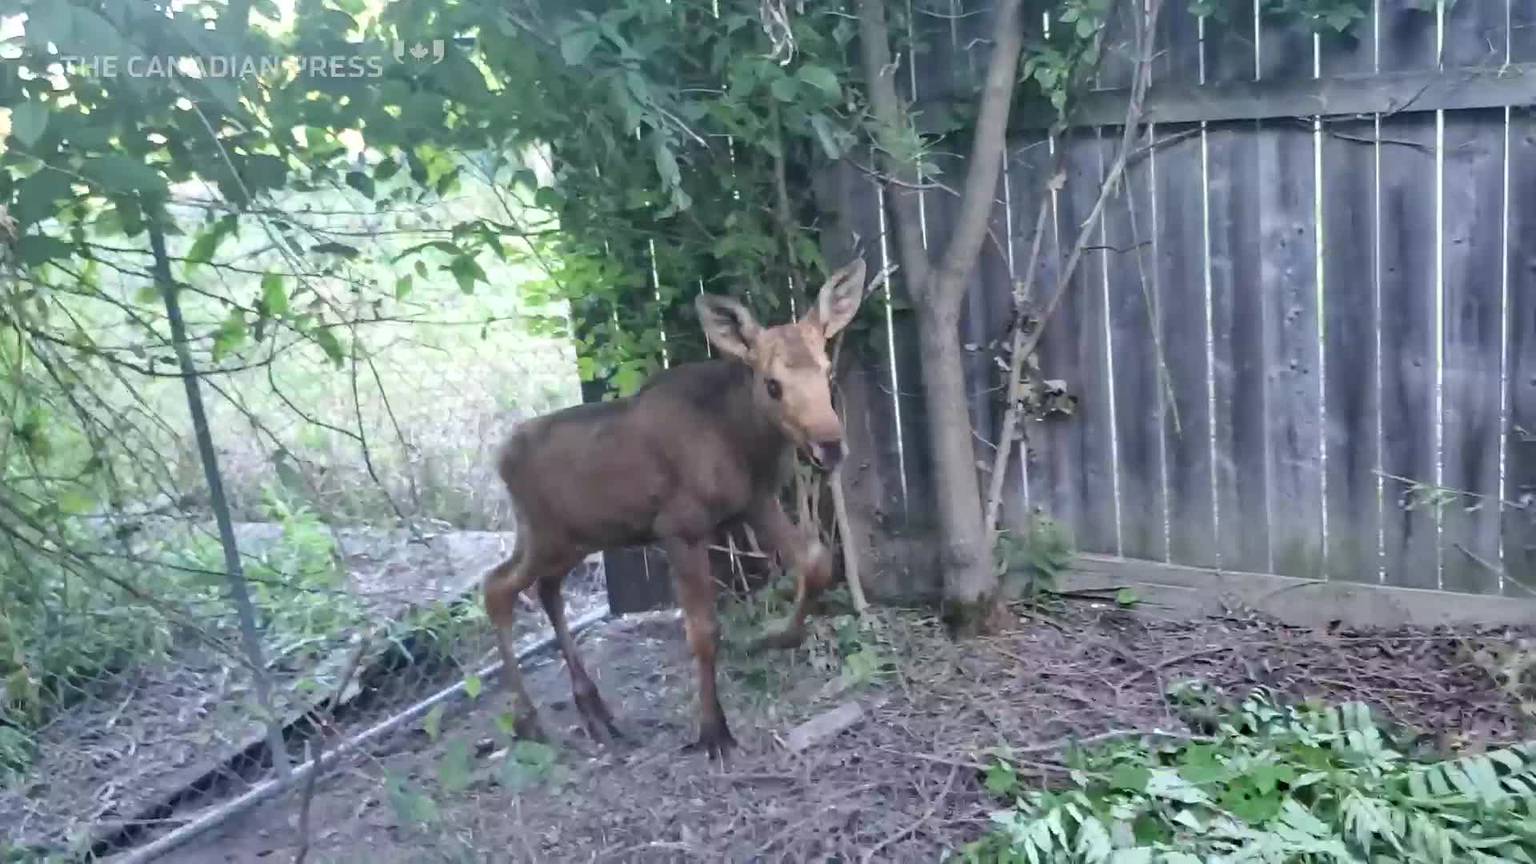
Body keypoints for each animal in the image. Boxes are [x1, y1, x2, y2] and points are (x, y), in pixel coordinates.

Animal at [481, 259, 873, 759]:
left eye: (826, 371)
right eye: (772, 384)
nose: (830, 445)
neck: (745, 442)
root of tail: (500, 458)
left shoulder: (754, 503)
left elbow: (818, 562)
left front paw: (776, 638)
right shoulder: (681, 527)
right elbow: (703, 629)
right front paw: (712, 730)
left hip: (574, 540)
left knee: (545, 591)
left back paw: (594, 709)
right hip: (543, 535)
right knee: (497, 587)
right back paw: (529, 720)